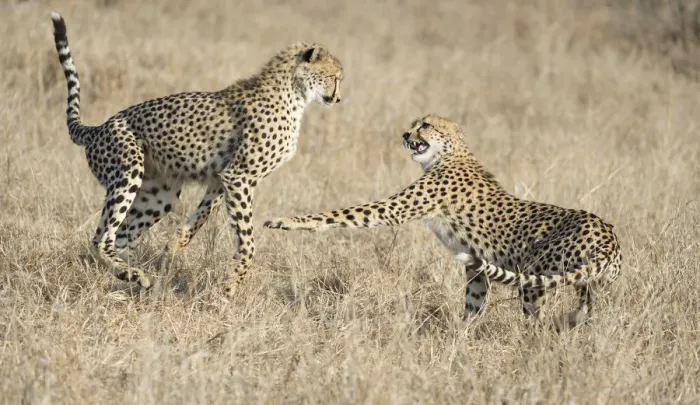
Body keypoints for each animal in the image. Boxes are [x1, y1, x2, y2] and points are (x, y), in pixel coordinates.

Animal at [50, 12, 343, 296]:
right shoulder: (239, 177)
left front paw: (172, 250)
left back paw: (147, 283)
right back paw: (133, 275)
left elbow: (198, 221)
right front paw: (229, 287)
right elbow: (248, 241)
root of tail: (97, 128)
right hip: (128, 171)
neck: (295, 92)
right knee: (102, 238)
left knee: (123, 236)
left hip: (160, 194)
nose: (338, 99)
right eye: (334, 77)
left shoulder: (220, 179)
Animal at [264, 114, 622, 330]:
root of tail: (608, 233)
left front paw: (288, 221)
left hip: (537, 280)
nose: (405, 133)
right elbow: (474, 301)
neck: (451, 153)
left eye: (424, 125)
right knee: (587, 310)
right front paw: (462, 336)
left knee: (536, 321)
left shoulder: (394, 208)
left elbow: (344, 213)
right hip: (591, 284)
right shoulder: (476, 267)